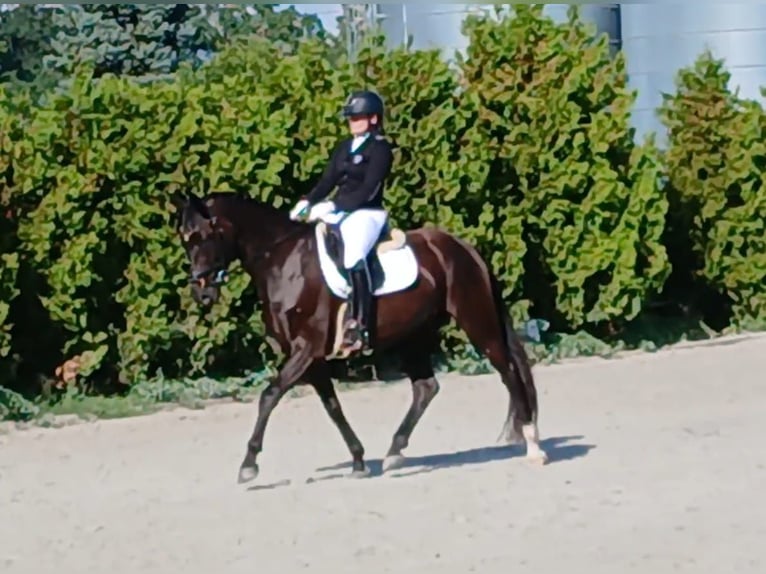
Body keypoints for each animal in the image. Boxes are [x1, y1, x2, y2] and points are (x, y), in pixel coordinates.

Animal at [171, 191, 548, 484]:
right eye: (185, 238)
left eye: (204, 235)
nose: (201, 292)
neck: (283, 261)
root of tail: (462, 247)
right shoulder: (312, 359)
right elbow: (333, 407)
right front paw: (357, 460)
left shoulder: (305, 350)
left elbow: (269, 396)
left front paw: (249, 464)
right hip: (413, 336)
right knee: (426, 387)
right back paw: (394, 452)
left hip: (477, 322)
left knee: (508, 373)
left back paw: (533, 445)